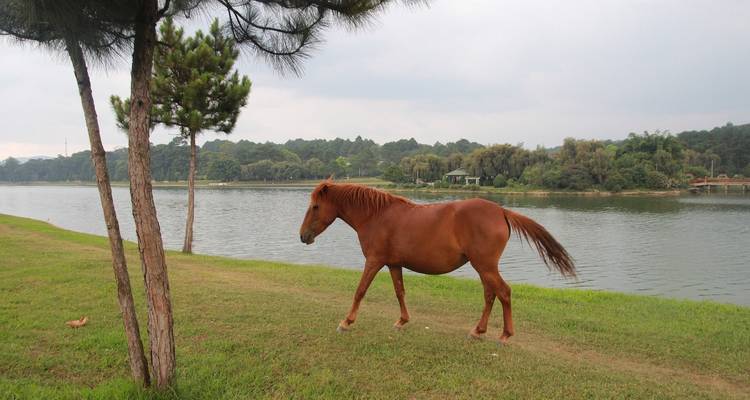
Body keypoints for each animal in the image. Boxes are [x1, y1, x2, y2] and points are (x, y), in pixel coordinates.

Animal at [299, 181, 575, 343]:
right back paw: (478, 330)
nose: (303, 236)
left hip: (485, 266)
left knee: (503, 293)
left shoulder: (374, 261)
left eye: (315, 206)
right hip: (483, 267)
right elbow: (399, 292)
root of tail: (501, 211)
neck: (377, 216)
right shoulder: (393, 264)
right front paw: (402, 321)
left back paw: (505, 335)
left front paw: (346, 322)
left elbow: (360, 291)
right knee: (490, 295)